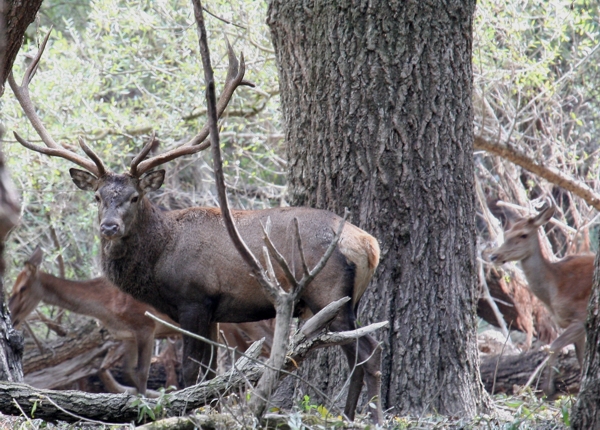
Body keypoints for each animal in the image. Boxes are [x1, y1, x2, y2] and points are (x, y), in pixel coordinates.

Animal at [9, 34, 382, 424]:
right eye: (97, 196)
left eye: (135, 196)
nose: (109, 226)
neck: (160, 260)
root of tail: (370, 244)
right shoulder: (213, 313)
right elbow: (210, 375)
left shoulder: (195, 301)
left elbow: (192, 373)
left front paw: (187, 414)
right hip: (341, 301)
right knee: (358, 357)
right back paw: (349, 416)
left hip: (329, 294)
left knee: (369, 354)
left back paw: (373, 417)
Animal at [488, 202, 592, 396]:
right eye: (507, 233)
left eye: (523, 234)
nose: (494, 256)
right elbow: (581, 359)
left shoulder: (582, 317)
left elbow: (553, 346)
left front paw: (547, 389)